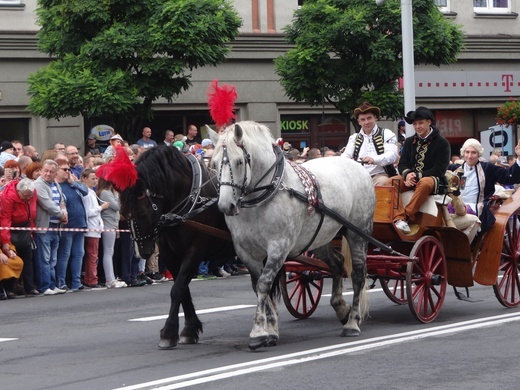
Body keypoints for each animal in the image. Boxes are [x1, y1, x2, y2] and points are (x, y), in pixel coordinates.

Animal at [118, 146, 236, 350]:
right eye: (124, 214)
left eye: (142, 213)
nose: (142, 252)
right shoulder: (169, 254)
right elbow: (182, 289)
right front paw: (189, 329)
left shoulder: (195, 251)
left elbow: (178, 290)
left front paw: (168, 332)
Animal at [209, 122, 376, 350]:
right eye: (214, 163)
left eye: (239, 161)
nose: (226, 206)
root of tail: (357, 165)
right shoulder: (245, 252)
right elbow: (258, 286)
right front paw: (270, 330)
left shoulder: (279, 246)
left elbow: (264, 284)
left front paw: (258, 332)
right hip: (319, 238)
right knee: (336, 263)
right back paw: (341, 308)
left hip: (358, 232)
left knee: (358, 274)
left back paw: (352, 323)